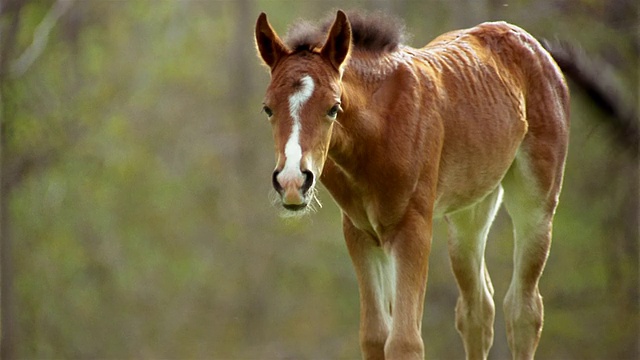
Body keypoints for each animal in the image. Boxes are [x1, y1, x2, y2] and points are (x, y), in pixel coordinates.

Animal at [255, 9, 568, 358]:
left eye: (333, 108)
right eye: (268, 108)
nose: (292, 181)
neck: (377, 132)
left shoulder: (412, 227)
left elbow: (405, 341)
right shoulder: (360, 232)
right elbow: (375, 335)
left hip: (536, 204)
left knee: (523, 310)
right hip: (469, 211)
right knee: (477, 310)